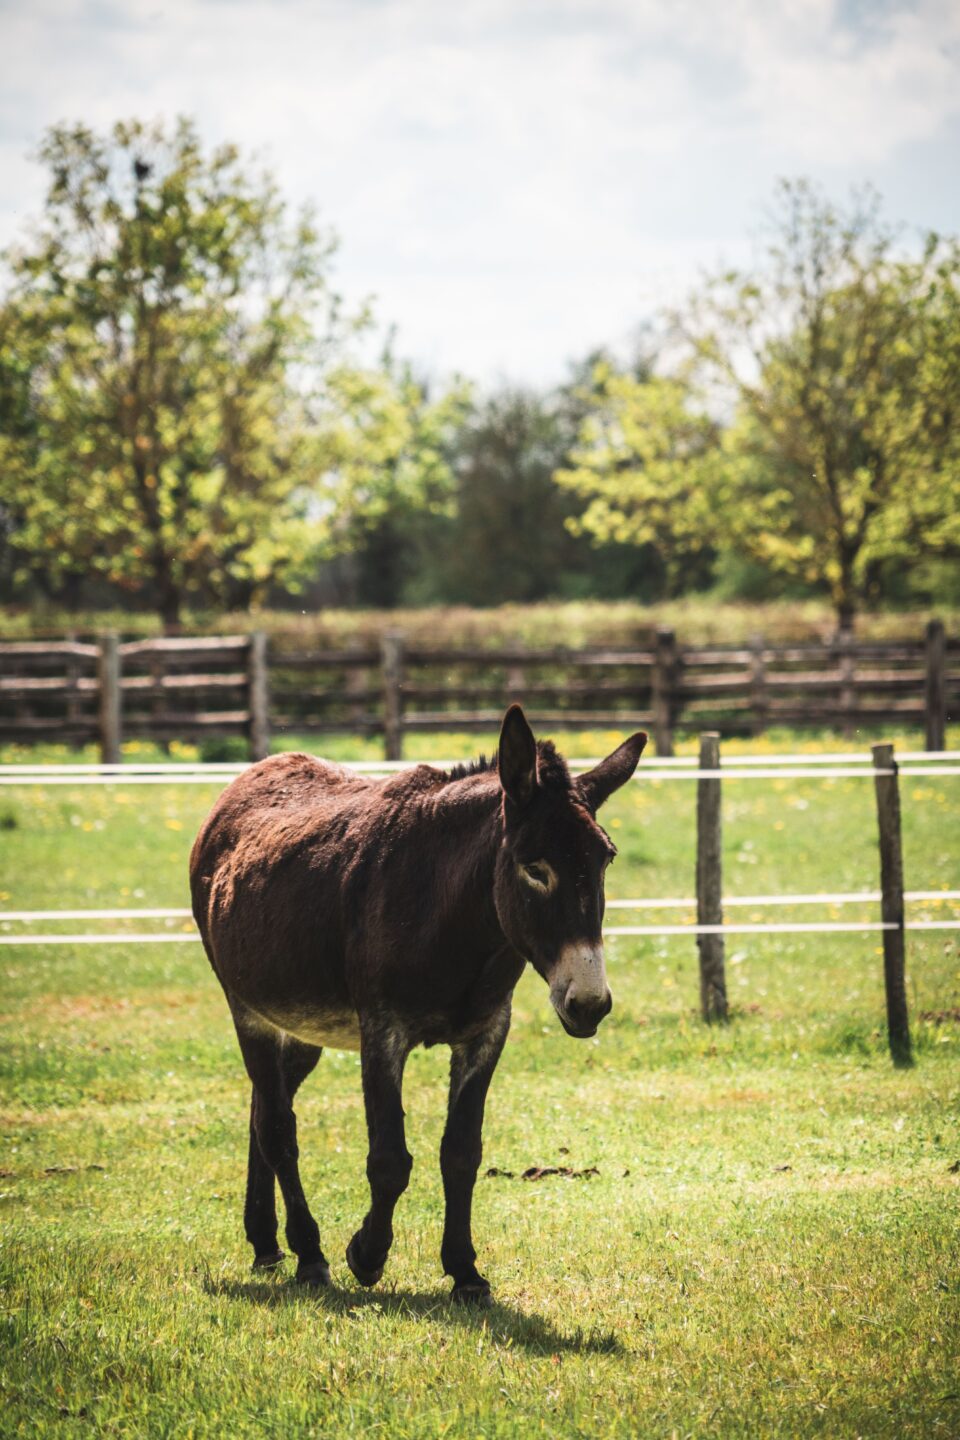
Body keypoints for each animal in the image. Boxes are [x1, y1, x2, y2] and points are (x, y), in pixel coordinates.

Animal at [190, 704, 646, 1305]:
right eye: (533, 866)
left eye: (606, 860)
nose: (589, 1004)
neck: (461, 927)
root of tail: (251, 776)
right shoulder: (382, 1032)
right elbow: (389, 1159)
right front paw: (366, 1254)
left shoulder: (486, 1031)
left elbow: (462, 1153)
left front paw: (465, 1270)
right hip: (248, 1008)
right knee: (279, 1132)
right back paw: (309, 1254)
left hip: (303, 1028)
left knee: (263, 1109)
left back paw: (265, 1241)